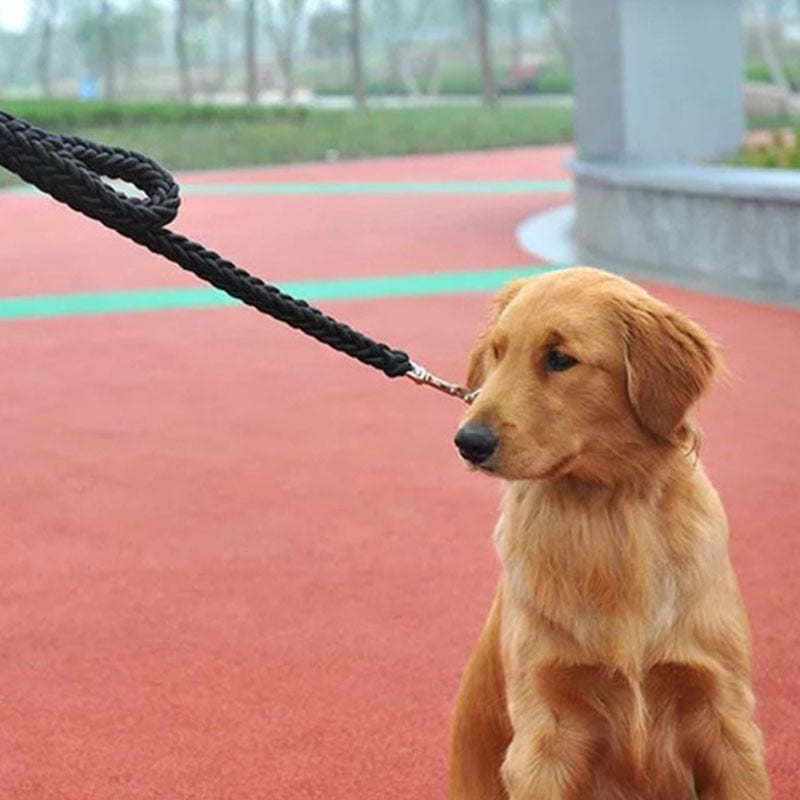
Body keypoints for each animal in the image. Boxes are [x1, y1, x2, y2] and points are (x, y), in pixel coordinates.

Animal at [450, 268, 768, 800]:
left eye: (559, 358)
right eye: (497, 352)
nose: (468, 442)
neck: (608, 513)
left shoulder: (726, 720)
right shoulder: (544, 734)